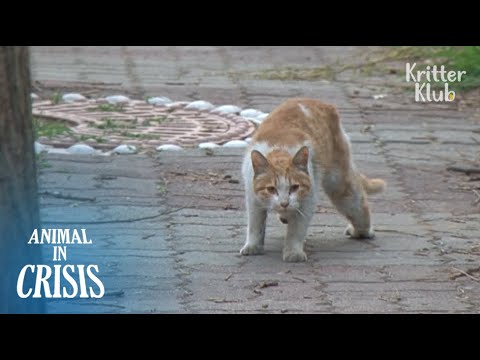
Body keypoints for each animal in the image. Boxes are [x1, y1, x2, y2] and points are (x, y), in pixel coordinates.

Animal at [242, 97, 384, 262]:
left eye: (294, 187)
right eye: (271, 189)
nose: (284, 203)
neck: (280, 150)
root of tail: (319, 102)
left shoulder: (307, 201)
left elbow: (296, 230)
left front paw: (293, 252)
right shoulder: (253, 199)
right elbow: (255, 226)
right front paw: (253, 246)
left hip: (340, 186)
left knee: (360, 207)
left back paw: (362, 231)